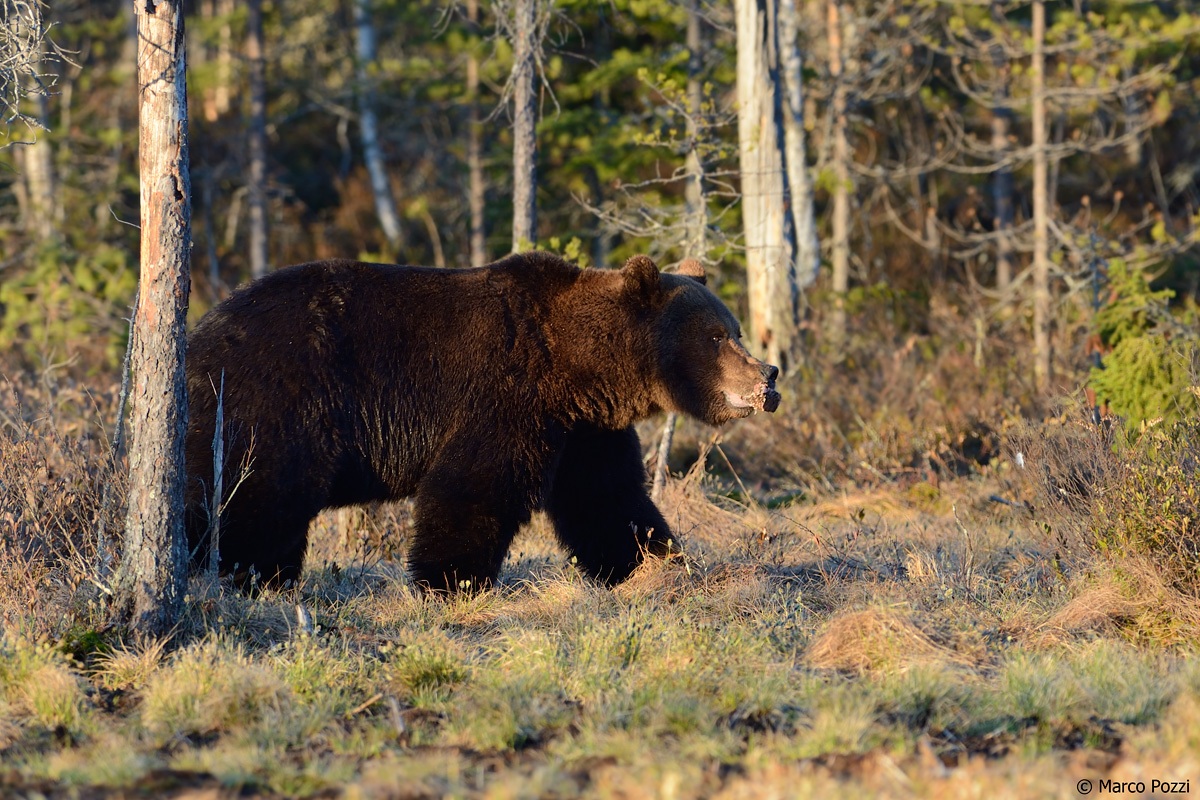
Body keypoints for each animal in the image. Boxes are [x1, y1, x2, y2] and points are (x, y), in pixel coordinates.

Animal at [183, 252, 780, 592]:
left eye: (734, 330)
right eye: (717, 336)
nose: (768, 375)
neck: (578, 366)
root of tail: (199, 332)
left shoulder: (584, 430)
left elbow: (609, 500)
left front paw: (653, 564)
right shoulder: (506, 393)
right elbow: (473, 485)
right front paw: (453, 581)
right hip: (277, 402)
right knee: (249, 499)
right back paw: (238, 574)